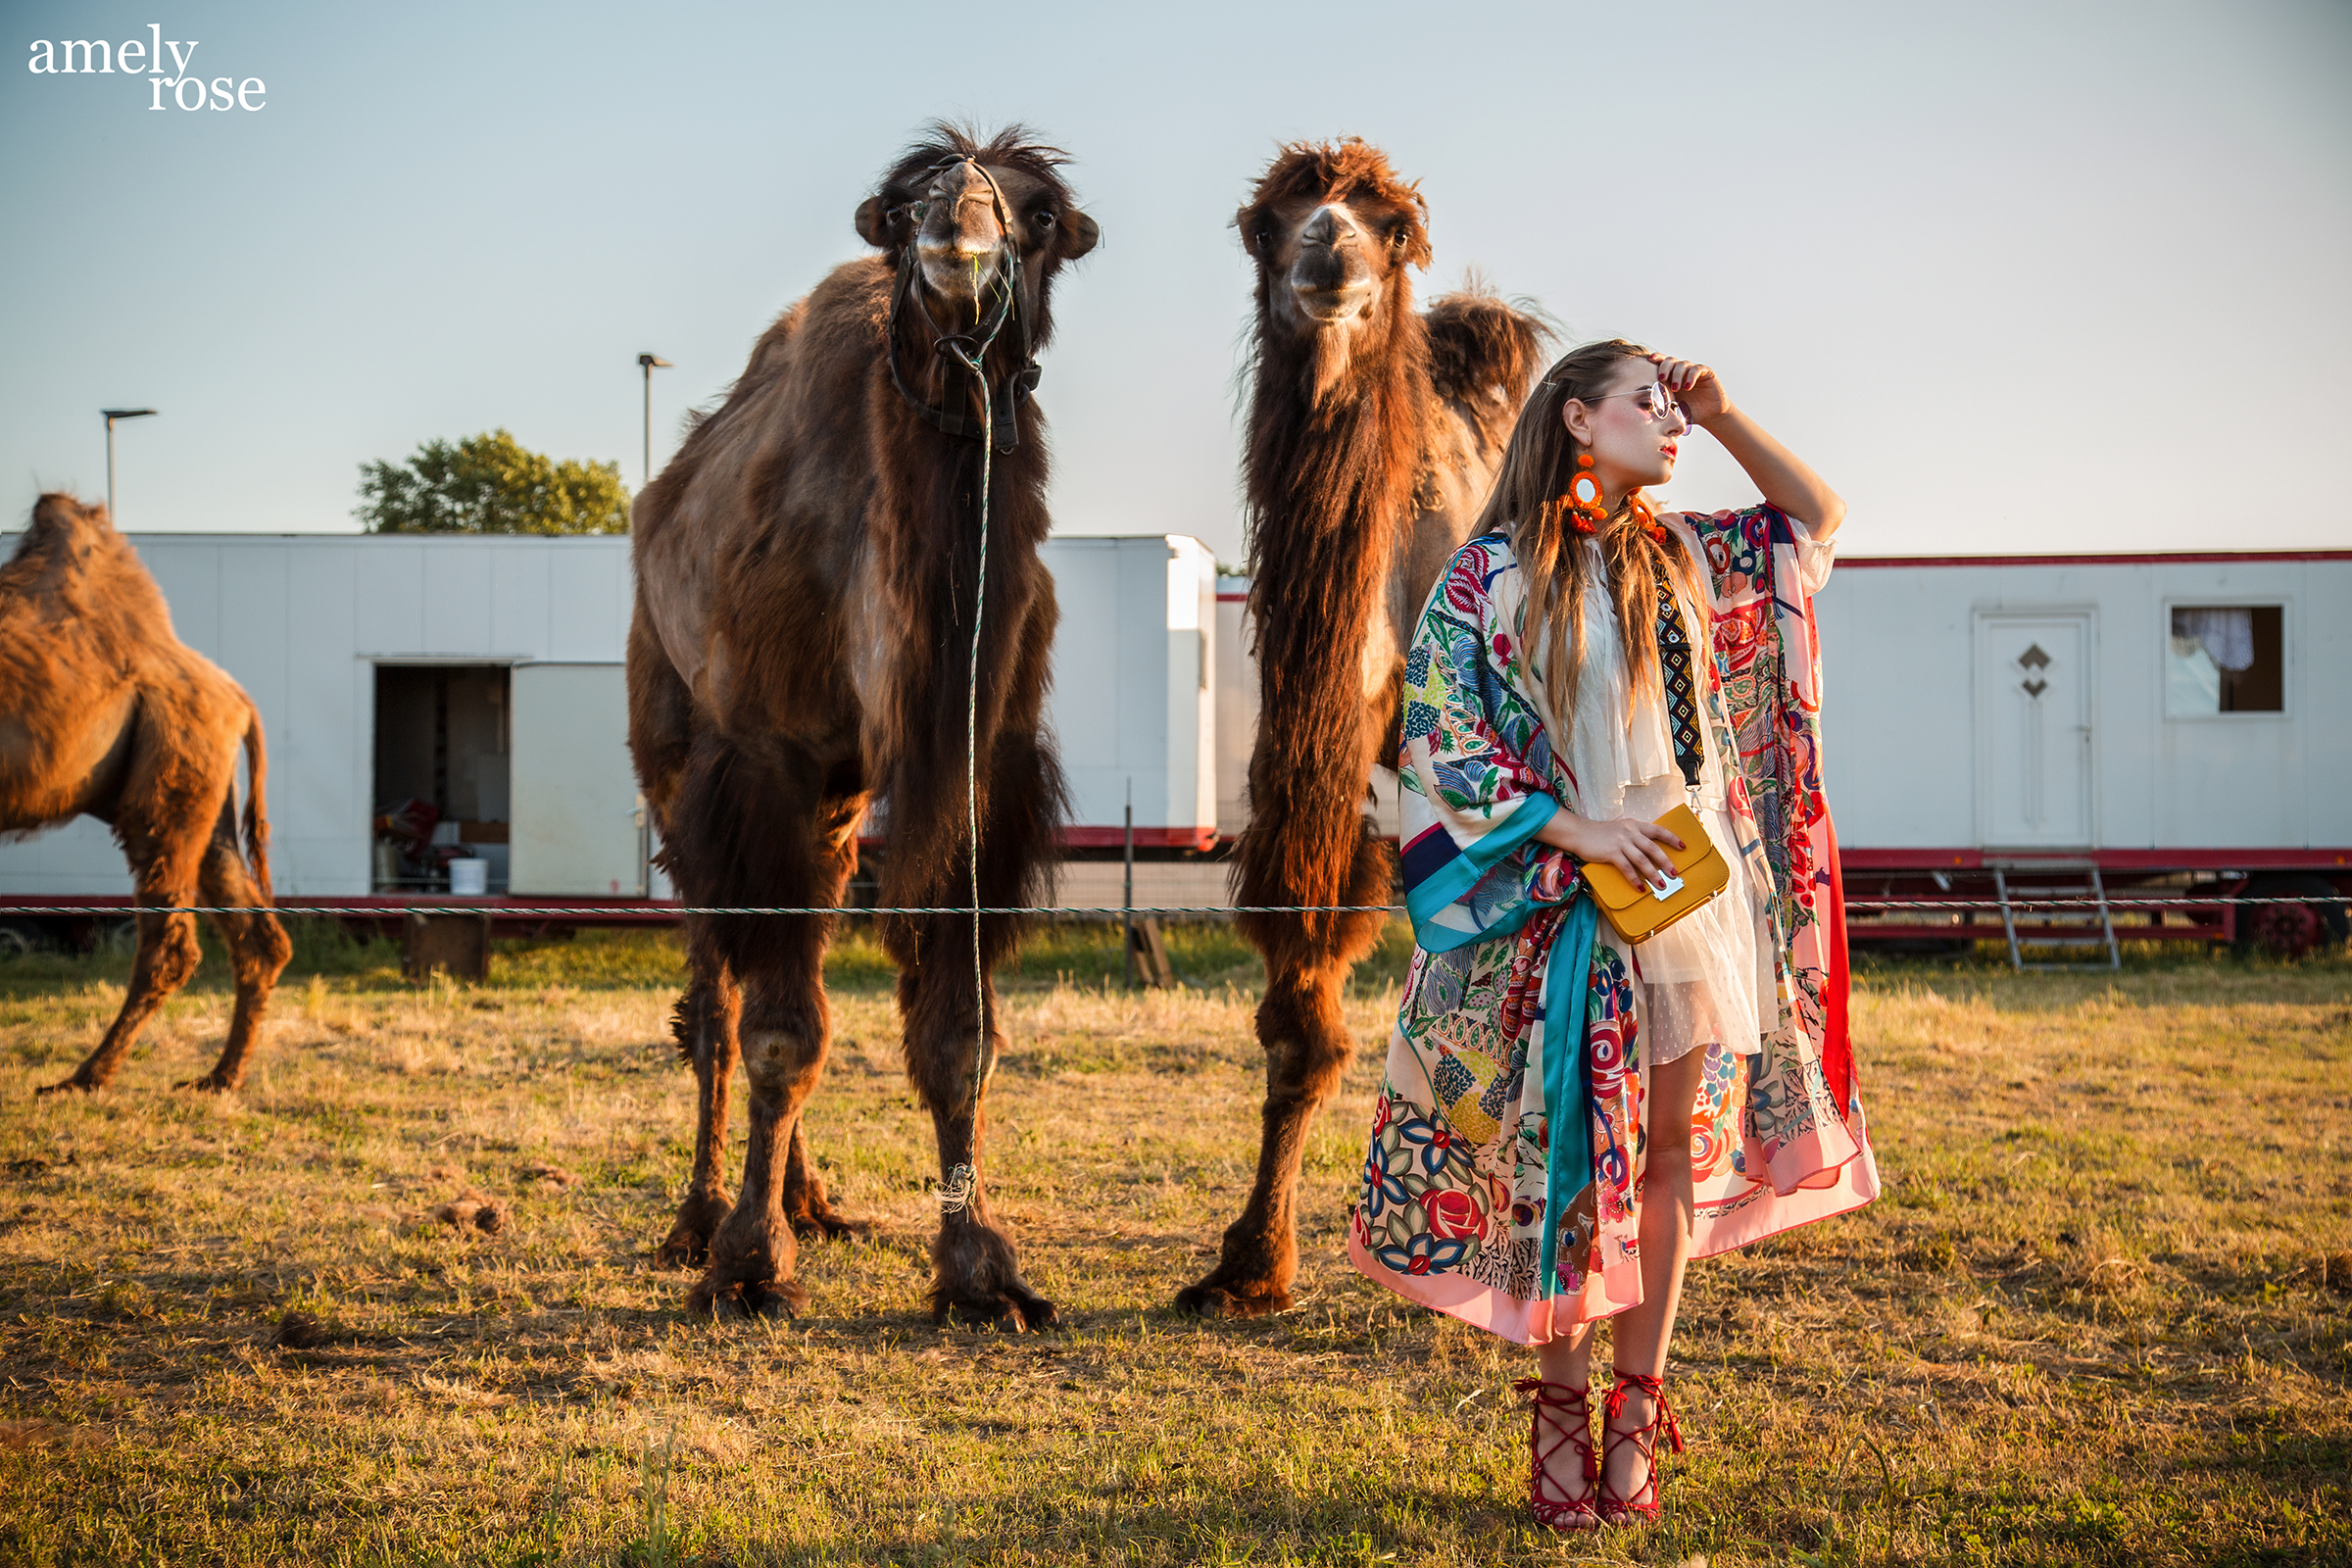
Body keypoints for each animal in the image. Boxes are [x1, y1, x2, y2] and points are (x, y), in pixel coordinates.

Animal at [0, 496, 291, 1100]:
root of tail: (238, 697)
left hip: (167, 775)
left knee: (169, 941)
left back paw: (83, 1078)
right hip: (206, 791)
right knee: (255, 931)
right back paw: (219, 1077)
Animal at [630, 125, 1096, 1325]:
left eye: (1040, 214)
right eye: (903, 208)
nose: (956, 238)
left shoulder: (977, 771)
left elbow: (958, 1034)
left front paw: (980, 1269)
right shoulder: (764, 761)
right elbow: (780, 1033)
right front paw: (748, 1262)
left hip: (841, 811)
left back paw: (811, 1198)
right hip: (672, 753)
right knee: (716, 994)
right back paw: (701, 1217)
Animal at [1171, 137, 1543, 1325]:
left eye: (1394, 226)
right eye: (1268, 221)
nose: (1330, 249)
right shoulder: (1310, 778)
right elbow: (1299, 1023)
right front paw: (1250, 1262)